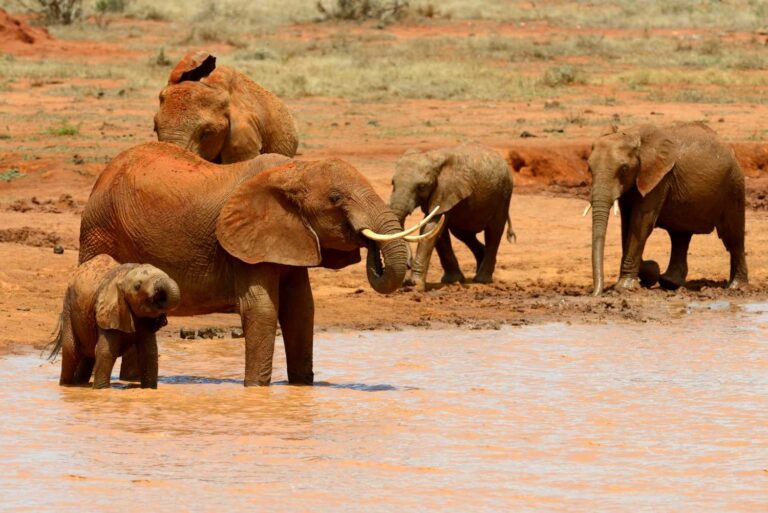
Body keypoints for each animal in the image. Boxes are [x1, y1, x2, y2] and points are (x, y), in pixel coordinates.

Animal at [47, 254, 180, 390]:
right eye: (137, 286)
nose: (158, 297)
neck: (124, 275)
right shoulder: (108, 313)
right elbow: (106, 352)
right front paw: (102, 390)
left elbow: (149, 352)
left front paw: (149, 389)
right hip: (68, 307)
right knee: (71, 350)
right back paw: (66, 386)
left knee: (88, 355)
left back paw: (80, 384)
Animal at [79, 142, 438, 386]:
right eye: (336, 199)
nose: (368, 244)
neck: (293, 172)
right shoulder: (246, 243)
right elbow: (262, 310)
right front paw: (255, 389)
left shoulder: (291, 238)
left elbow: (301, 310)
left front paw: (301, 387)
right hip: (99, 229)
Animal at [390, 143, 516, 292]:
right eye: (392, 183)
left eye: (421, 186)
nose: (408, 263)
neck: (432, 157)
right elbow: (438, 231)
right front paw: (453, 280)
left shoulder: (447, 190)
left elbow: (431, 228)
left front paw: (414, 287)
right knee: (464, 234)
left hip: (504, 194)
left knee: (493, 233)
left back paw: (482, 279)